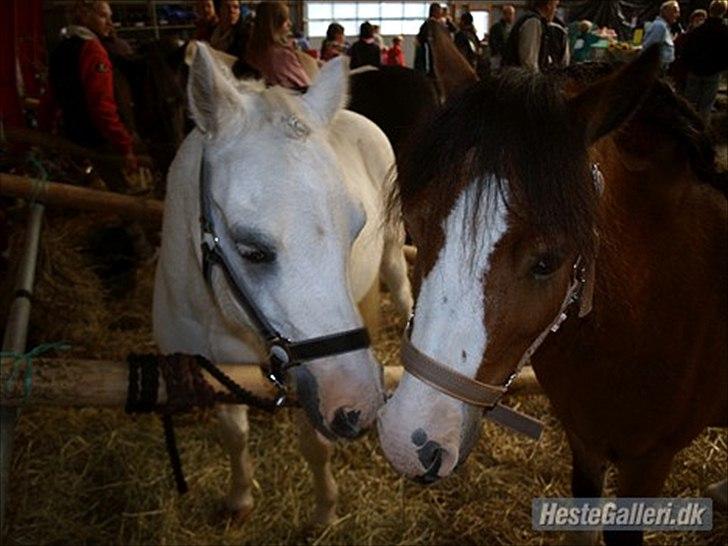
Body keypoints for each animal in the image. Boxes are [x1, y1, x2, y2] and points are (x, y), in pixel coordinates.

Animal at [153, 42, 413, 525]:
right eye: (251, 250)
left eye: (356, 226)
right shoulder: (217, 373)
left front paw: (325, 511)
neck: (219, 314)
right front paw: (239, 499)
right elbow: (234, 436)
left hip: (391, 250)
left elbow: (314, 446)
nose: (360, 401)